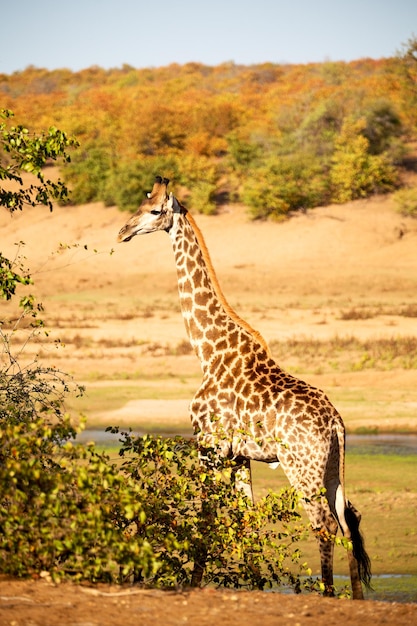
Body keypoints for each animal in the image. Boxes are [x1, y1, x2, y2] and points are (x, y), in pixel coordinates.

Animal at [116, 174, 370, 596]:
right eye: (138, 204)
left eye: (153, 210)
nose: (122, 231)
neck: (207, 349)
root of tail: (335, 422)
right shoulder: (238, 455)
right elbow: (246, 522)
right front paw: (253, 585)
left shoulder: (209, 445)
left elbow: (206, 520)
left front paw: (196, 584)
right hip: (334, 467)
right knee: (347, 523)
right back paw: (355, 599)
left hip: (300, 466)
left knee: (324, 525)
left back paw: (329, 594)